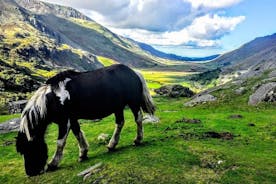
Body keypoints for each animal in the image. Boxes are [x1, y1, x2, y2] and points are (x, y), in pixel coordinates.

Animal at [15, 64, 155, 176]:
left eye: (29, 149)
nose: (30, 173)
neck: (52, 99)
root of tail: (134, 72)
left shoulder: (64, 121)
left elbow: (60, 142)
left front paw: (53, 164)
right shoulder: (72, 119)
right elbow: (77, 133)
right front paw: (83, 153)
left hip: (133, 103)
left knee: (138, 119)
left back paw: (137, 140)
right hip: (118, 107)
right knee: (120, 122)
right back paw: (111, 145)